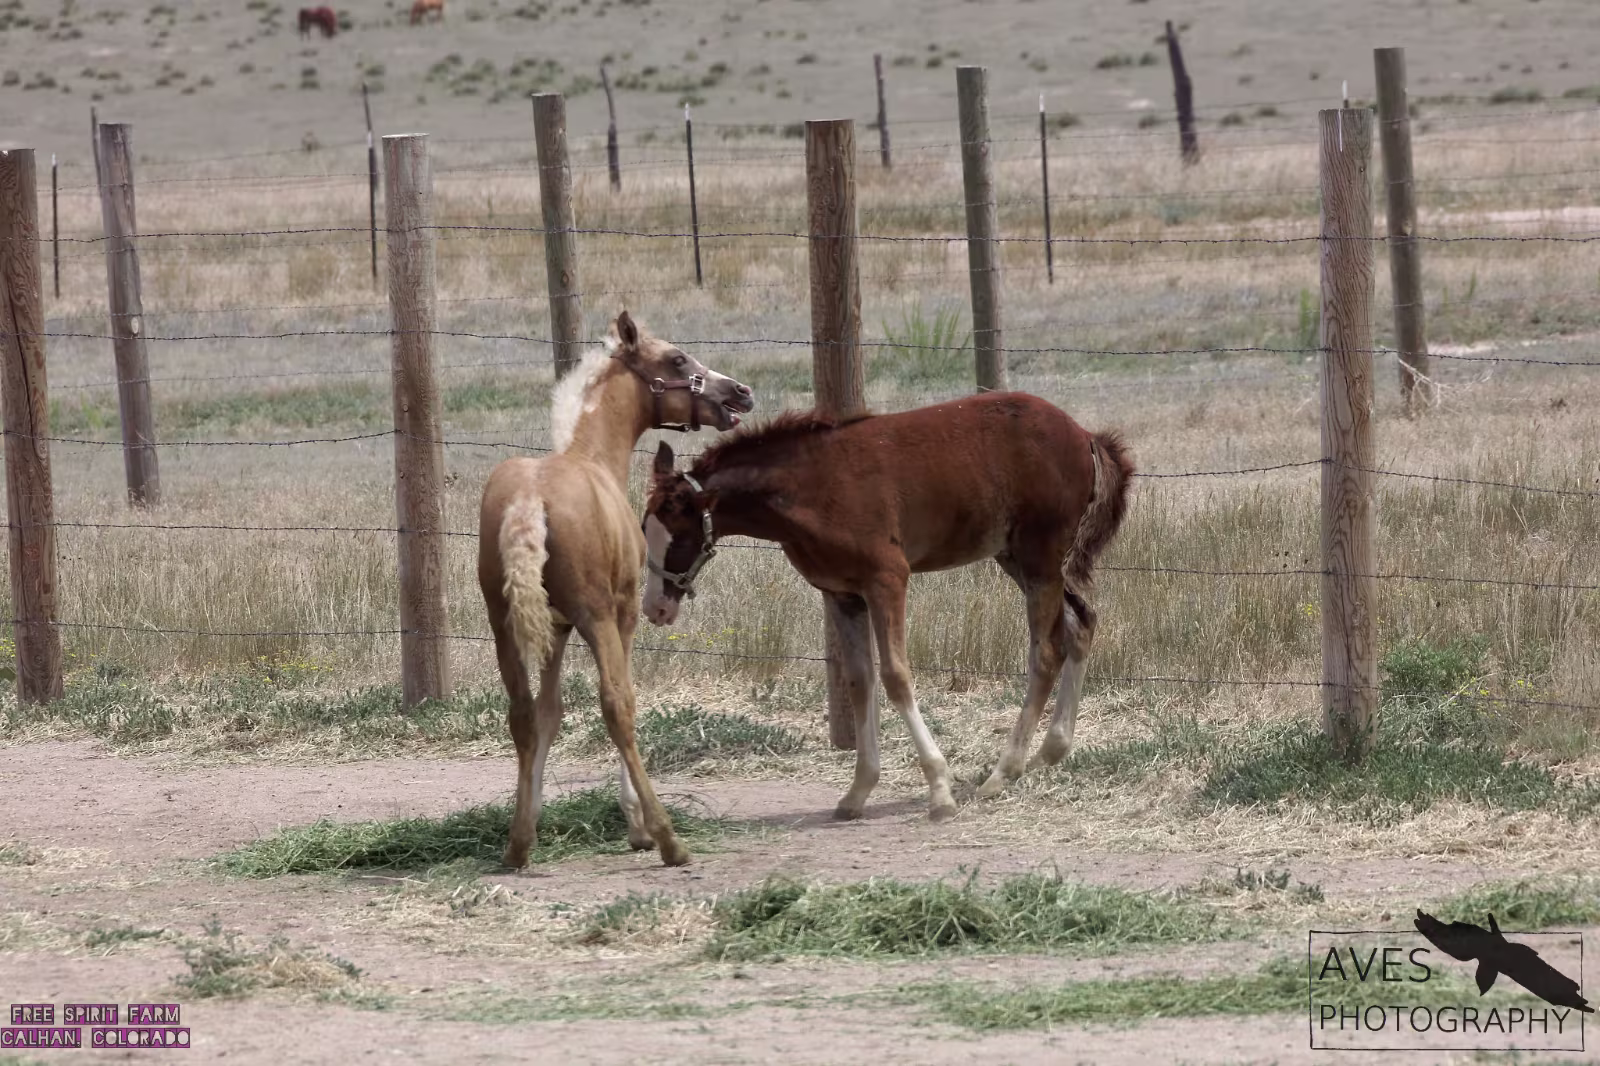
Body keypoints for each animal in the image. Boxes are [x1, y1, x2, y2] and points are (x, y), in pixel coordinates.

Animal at [478, 311, 754, 869]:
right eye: (676, 359)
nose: (739, 393)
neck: (592, 456)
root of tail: (528, 501)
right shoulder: (622, 614)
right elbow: (622, 699)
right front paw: (638, 826)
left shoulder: (556, 630)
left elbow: (549, 713)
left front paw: (531, 822)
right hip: (598, 617)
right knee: (616, 706)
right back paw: (669, 839)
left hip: (505, 625)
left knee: (521, 713)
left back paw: (516, 846)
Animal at [641, 392, 1133, 822]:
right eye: (645, 529)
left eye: (680, 537)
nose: (655, 608)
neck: (809, 486)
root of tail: (1085, 435)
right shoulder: (842, 593)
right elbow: (860, 682)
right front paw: (857, 792)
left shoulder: (887, 578)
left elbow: (896, 676)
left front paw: (939, 792)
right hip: (1017, 557)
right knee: (1081, 625)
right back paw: (1051, 750)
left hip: (1040, 556)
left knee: (1047, 651)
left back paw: (1001, 773)